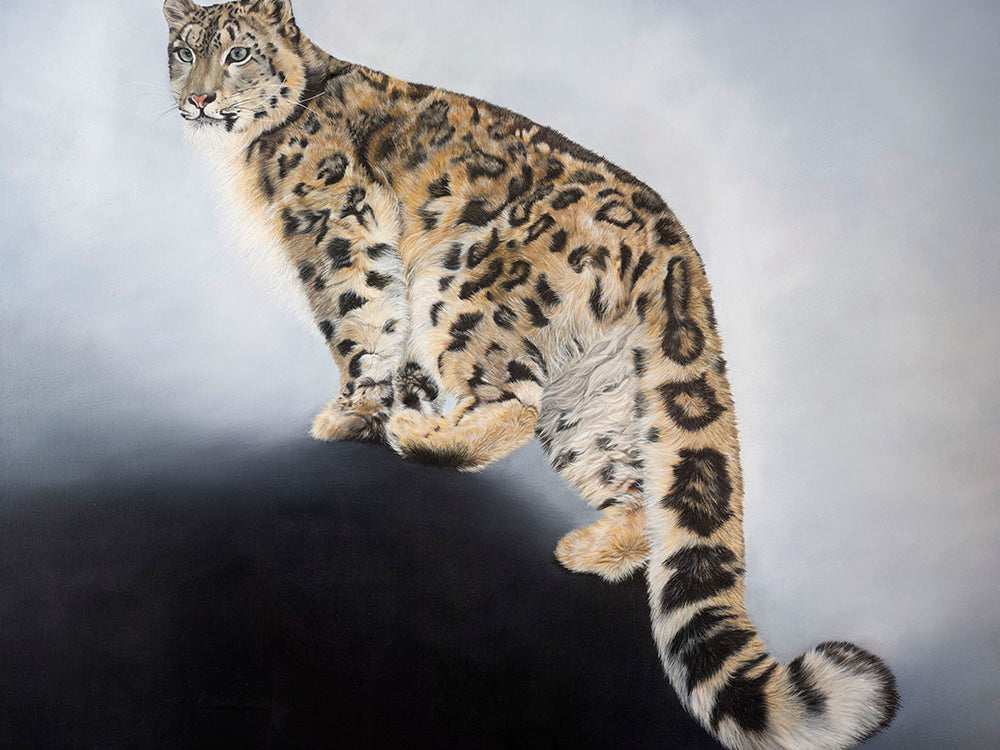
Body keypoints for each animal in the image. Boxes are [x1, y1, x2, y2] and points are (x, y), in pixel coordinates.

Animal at [163, 2, 899, 748]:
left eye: (240, 53)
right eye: (184, 50)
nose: (199, 98)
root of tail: (675, 246)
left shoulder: (337, 232)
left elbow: (363, 323)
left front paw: (353, 414)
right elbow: (395, 358)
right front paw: (388, 409)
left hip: (463, 286)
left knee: (512, 402)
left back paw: (422, 436)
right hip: (593, 401)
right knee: (635, 488)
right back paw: (582, 545)